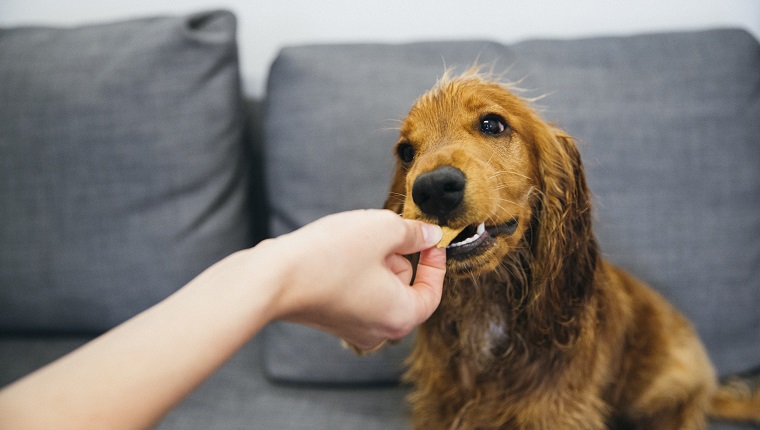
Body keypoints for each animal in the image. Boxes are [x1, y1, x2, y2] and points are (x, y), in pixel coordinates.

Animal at [386, 70, 760, 430]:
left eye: (492, 124)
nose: (433, 189)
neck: (485, 305)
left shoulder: (560, 412)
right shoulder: (438, 408)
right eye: (406, 152)